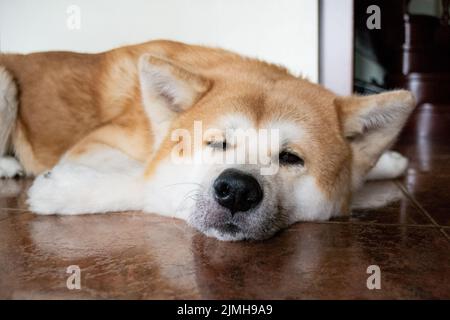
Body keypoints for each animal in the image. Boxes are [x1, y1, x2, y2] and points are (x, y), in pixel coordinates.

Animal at [0, 40, 414, 240]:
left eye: (290, 158)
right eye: (216, 143)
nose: (237, 190)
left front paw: (389, 161)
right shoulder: (97, 146)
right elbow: (142, 182)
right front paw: (62, 191)